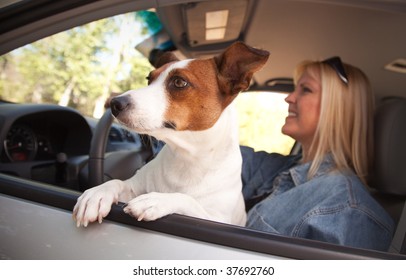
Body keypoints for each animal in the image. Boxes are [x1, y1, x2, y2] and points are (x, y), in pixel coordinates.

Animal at [73, 42, 270, 228]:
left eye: (179, 82)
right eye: (149, 79)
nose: (114, 103)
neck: (186, 159)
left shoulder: (217, 219)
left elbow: (187, 199)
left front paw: (156, 199)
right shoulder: (133, 187)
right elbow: (117, 182)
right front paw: (97, 194)